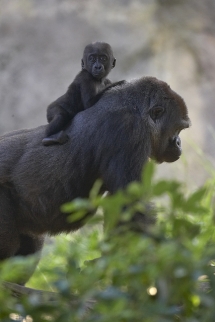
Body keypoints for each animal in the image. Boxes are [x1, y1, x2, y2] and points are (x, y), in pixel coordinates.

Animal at [0, 76, 191, 262]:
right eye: (178, 128)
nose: (179, 143)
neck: (137, 109)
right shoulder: (129, 130)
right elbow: (131, 206)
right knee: (8, 244)